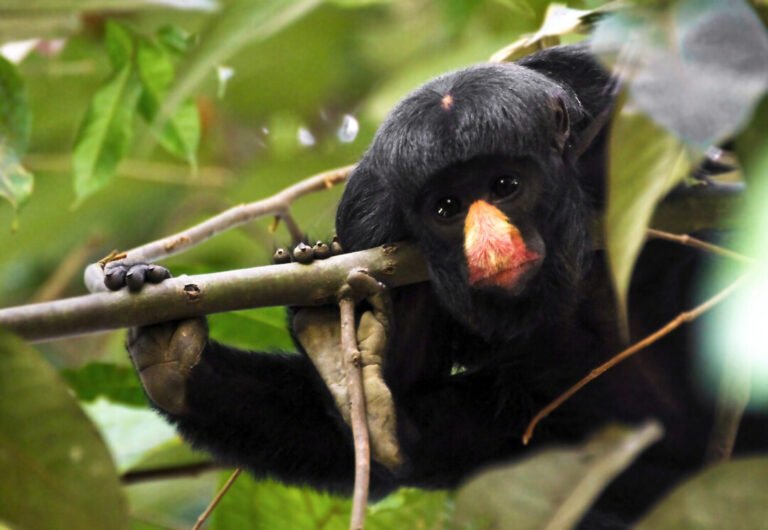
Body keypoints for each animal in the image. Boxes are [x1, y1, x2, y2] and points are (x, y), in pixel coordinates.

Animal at [109, 43, 768, 520]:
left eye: (505, 186)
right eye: (448, 209)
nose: (489, 245)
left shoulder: (603, 96)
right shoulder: (371, 220)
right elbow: (373, 443)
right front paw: (171, 338)